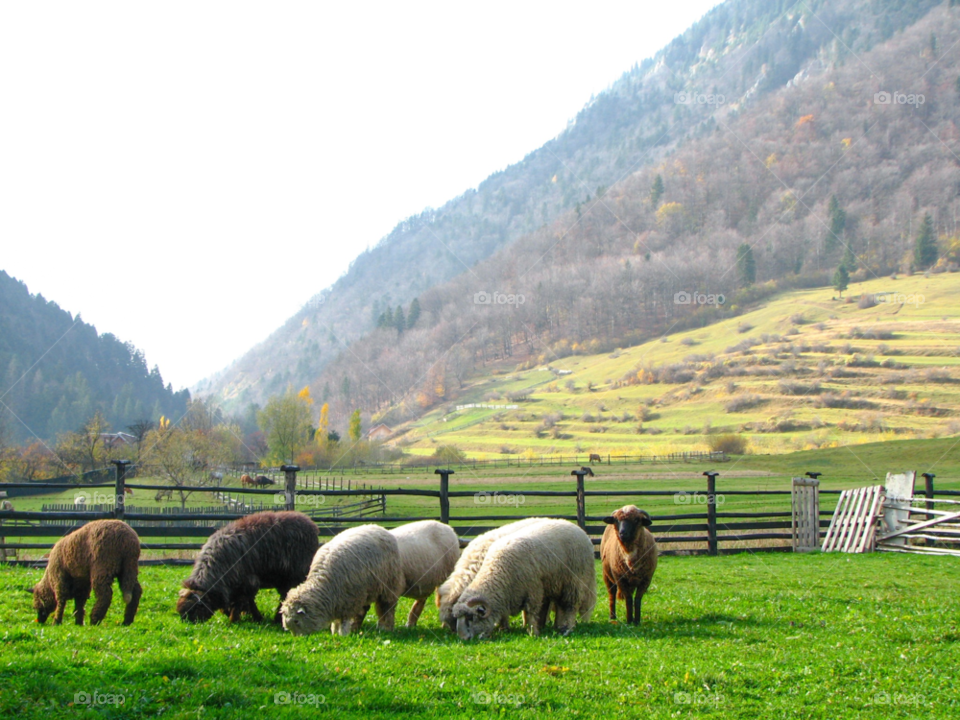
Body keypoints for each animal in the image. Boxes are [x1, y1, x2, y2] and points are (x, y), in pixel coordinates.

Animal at [176, 512, 318, 624]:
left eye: (195, 608)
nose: (188, 623)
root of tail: (311, 524)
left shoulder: (248, 581)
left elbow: (243, 601)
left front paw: (237, 619)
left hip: (294, 575)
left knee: (287, 595)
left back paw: (278, 618)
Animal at [450, 516, 592, 640]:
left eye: (470, 618)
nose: (463, 638)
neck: (499, 570)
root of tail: (579, 530)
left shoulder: (534, 589)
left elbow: (531, 612)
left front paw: (533, 633)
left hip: (574, 580)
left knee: (570, 606)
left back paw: (567, 628)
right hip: (555, 582)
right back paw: (557, 626)